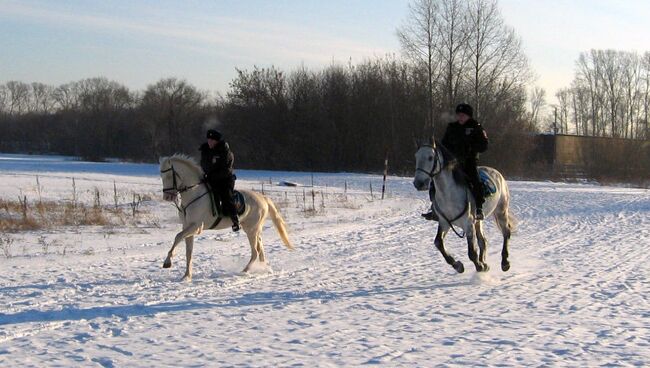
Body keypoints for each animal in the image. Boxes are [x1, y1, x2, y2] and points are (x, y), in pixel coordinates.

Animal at [158, 155, 292, 282]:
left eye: (169, 176)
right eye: (162, 176)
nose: (167, 197)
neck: (194, 195)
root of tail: (263, 198)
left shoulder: (196, 227)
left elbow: (178, 236)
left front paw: (167, 262)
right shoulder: (187, 227)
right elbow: (188, 252)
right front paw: (186, 276)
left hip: (251, 230)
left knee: (255, 252)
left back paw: (244, 271)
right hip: (254, 230)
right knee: (260, 249)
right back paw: (264, 269)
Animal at [412, 139, 512, 274]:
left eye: (430, 157)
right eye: (416, 156)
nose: (419, 183)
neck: (449, 195)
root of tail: (497, 173)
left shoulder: (468, 224)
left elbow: (472, 253)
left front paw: (479, 266)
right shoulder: (444, 223)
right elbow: (438, 243)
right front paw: (458, 265)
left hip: (501, 211)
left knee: (506, 233)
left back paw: (504, 263)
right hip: (478, 220)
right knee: (483, 241)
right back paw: (485, 263)